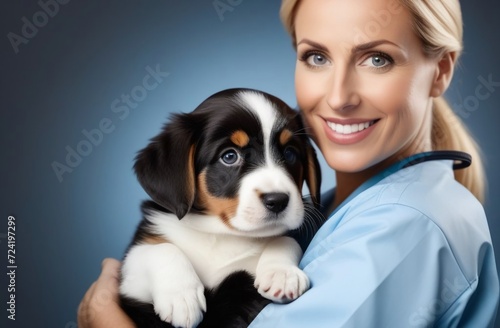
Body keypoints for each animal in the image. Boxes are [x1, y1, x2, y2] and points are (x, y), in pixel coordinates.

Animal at [119, 88, 320, 328]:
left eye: (290, 153)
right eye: (229, 156)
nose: (278, 200)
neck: (220, 234)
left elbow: (285, 239)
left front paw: (282, 274)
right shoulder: (131, 285)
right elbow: (160, 249)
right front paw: (181, 297)